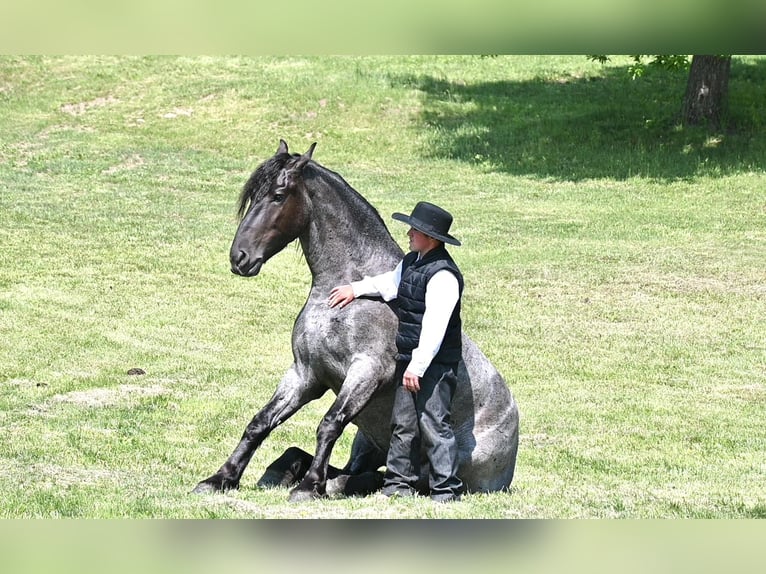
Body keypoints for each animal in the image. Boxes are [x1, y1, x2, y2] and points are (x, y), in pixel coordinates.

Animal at [195, 141, 520, 504]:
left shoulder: (366, 372)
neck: (346, 289)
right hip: (367, 442)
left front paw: (308, 487)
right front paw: (220, 478)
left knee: (382, 478)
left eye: (278, 195)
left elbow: (329, 423)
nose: (239, 258)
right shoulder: (305, 374)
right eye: (253, 197)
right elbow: (260, 422)